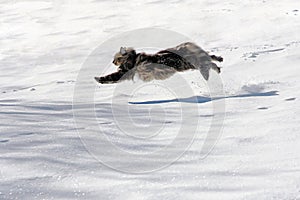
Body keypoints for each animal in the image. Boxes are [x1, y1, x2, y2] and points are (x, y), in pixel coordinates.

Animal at [94, 41, 223, 83]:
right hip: (193, 63)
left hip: (190, 64)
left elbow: (110, 77)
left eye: (116, 58)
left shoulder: (124, 72)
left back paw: (217, 66)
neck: (133, 59)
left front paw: (98, 79)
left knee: (209, 62)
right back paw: (219, 61)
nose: (112, 62)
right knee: (210, 58)